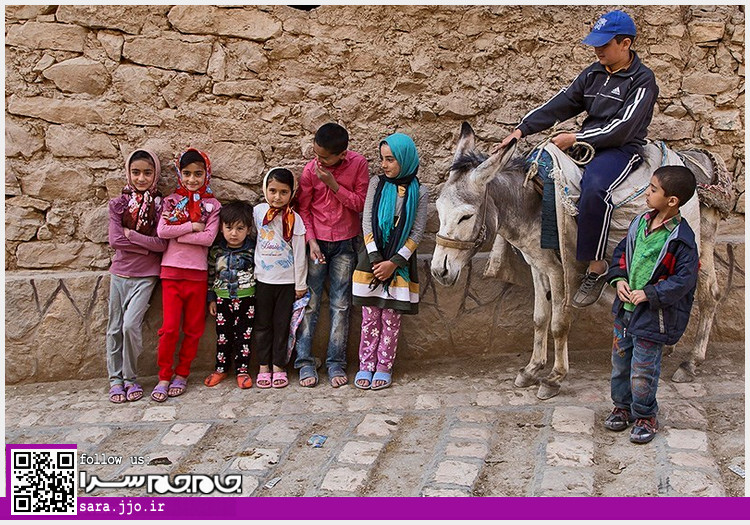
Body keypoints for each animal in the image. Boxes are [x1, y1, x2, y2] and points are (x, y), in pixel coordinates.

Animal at [430, 122, 727, 399]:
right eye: (439, 210)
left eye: (466, 216)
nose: (438, 271)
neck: (532, 203)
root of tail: (698, 162)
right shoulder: (538, 265)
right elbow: (539, 318)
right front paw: (531, 370)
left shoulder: (560, 269)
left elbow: (559, 324)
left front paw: (554, 378)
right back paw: (668, 348)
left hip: (696, 243)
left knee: (709, 293)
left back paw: (691, 363)